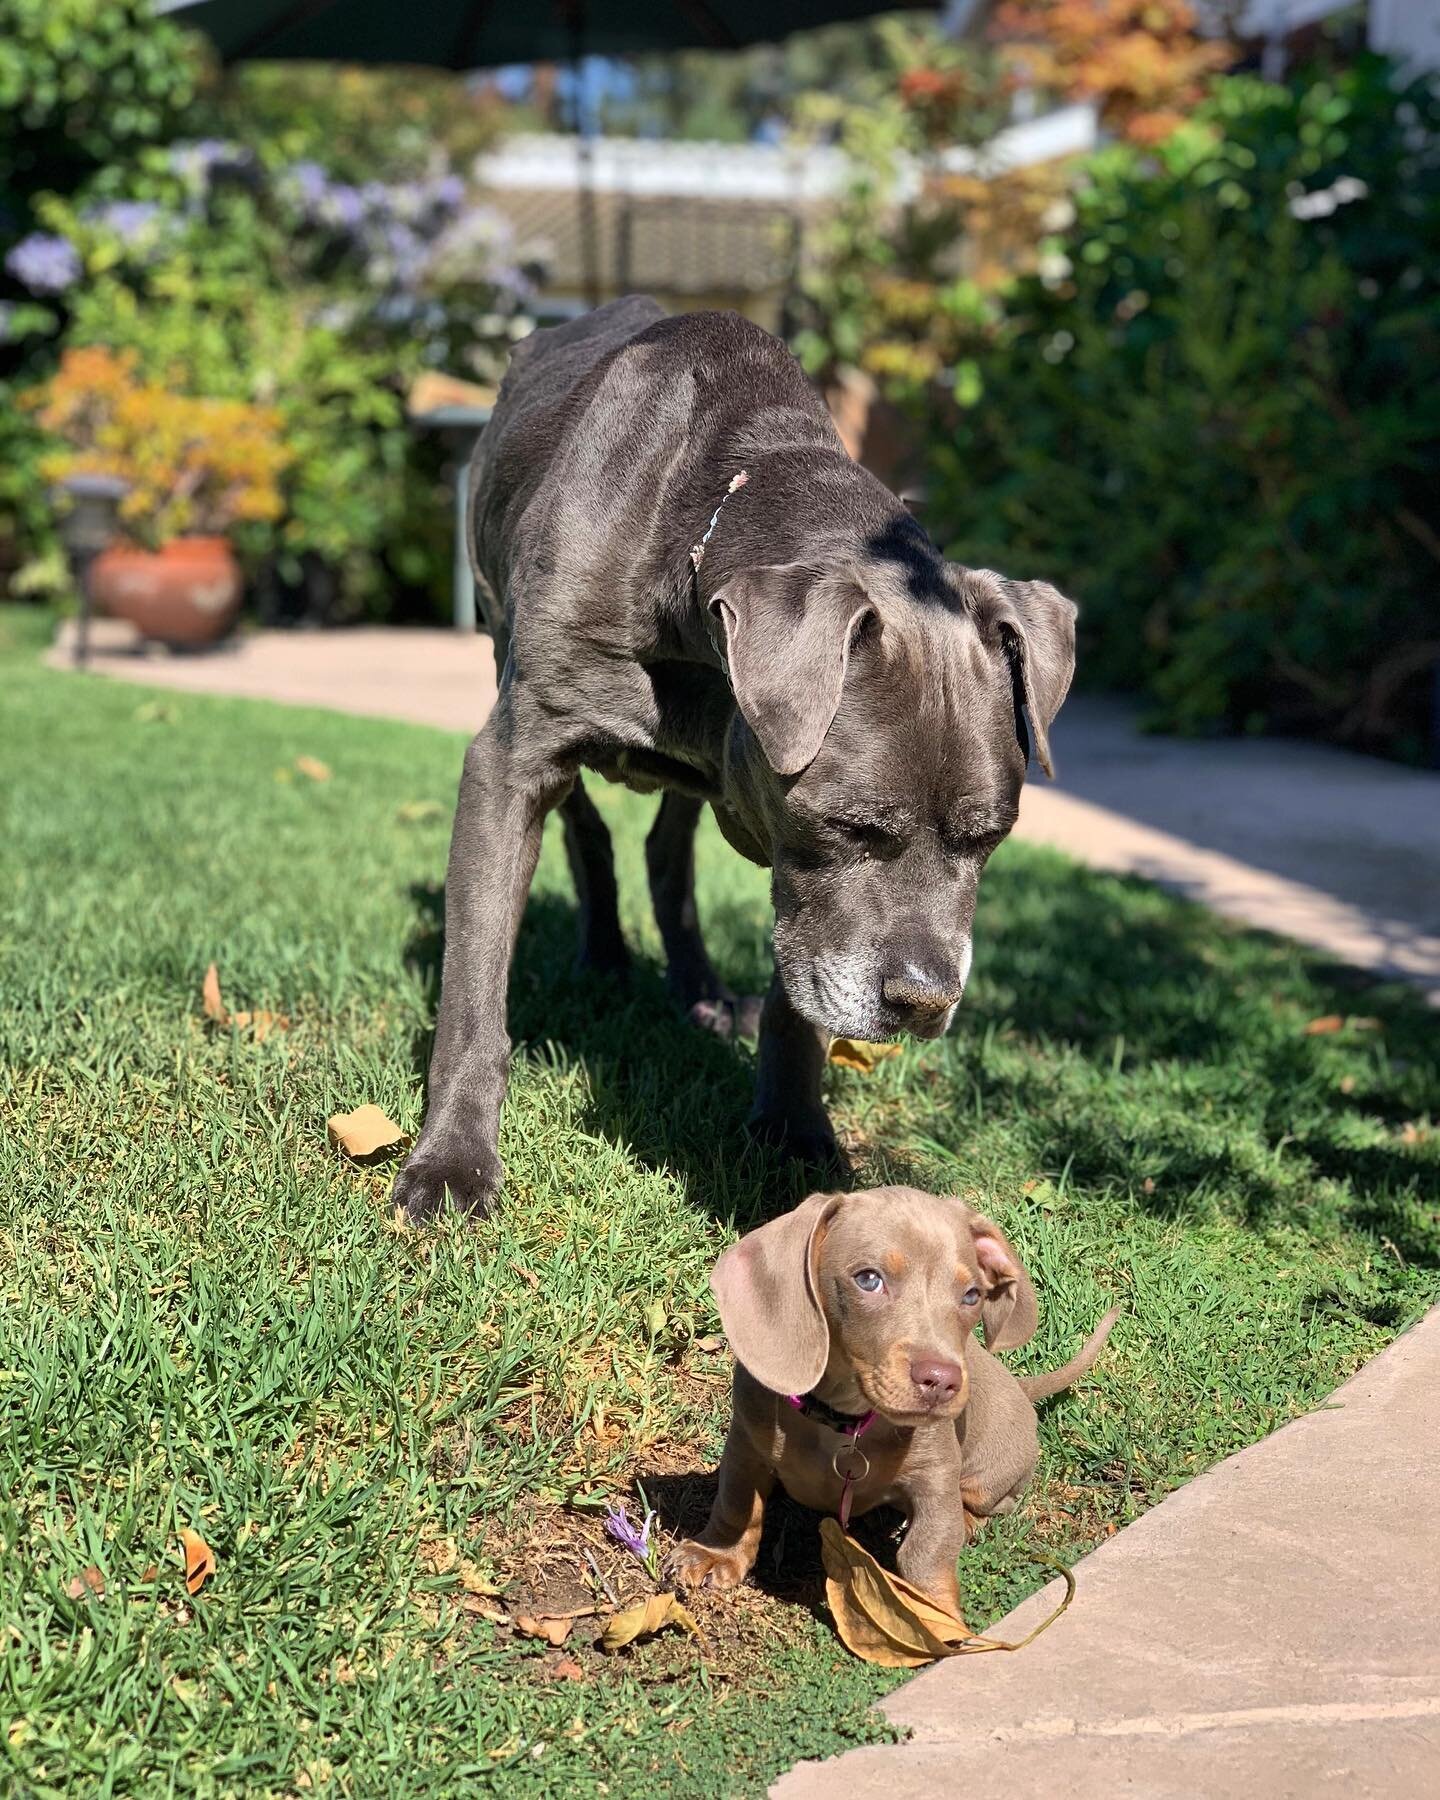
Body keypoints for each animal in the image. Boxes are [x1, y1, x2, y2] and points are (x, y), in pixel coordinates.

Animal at [390, 298, 1065, 1224]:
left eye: (991, 838)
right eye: (849, 826)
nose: (925, 1002)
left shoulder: (788, 861)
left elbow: (795, 990)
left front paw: (796, 1130)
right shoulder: (509, 762)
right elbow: (473, 988)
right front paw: (452, 1162)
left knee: (667, 853)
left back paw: (701, 991)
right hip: (511, 668)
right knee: (589, 833)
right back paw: (606, 955)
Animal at [669, 1180, 1116, 1620]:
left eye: (972, 1295)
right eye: (868, 1279)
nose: (942, 1381)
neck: (843, 1418)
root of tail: (1021, 1388)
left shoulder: (936, 1478)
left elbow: (927, 1553)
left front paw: (937, 1613)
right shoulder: (746, 1441)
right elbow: (736, 1500)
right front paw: (716, 1553)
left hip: (990, 1476)